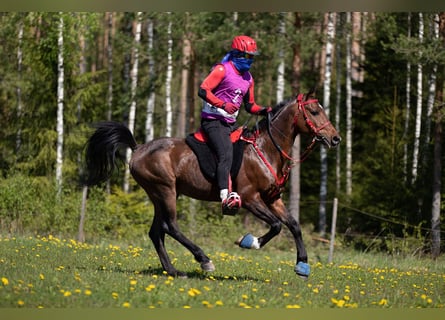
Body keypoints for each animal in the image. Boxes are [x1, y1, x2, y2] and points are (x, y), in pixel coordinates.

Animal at [83, 89, 340, 278]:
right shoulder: (250, 198)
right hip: (164, 190)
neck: (266, 148)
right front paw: (250, 242)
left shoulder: (272, 198)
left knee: (157, 232)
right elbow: (276, 225)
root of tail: (137, 149)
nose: (335, 138)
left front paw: (302, 265)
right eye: (314, 111)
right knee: (170, 226)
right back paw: (203, 259)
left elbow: (293, 225)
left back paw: (173, 271)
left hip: (162, 195)